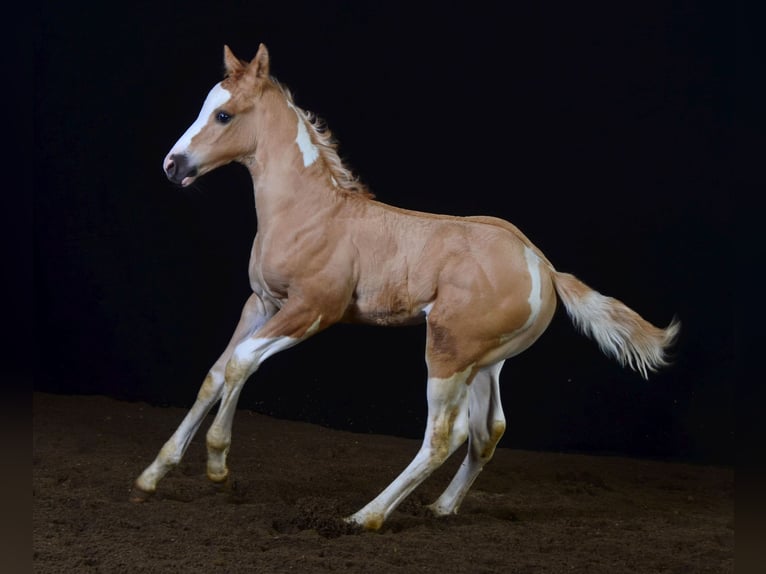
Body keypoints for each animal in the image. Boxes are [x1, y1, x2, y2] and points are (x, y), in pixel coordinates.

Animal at [130, 42, 680, 532]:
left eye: (224, 116)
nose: (173, 166)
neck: (310, 212)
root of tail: (543, 266)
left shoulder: (312, 310)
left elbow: (242, 363)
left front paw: (218, 466)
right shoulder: (262, 303)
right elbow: (215, 373)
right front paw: (153, 475)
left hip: (448, 352)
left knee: (444, 435)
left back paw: (365, 517)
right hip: (486, 361)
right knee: (487, 431)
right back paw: (440, 508)